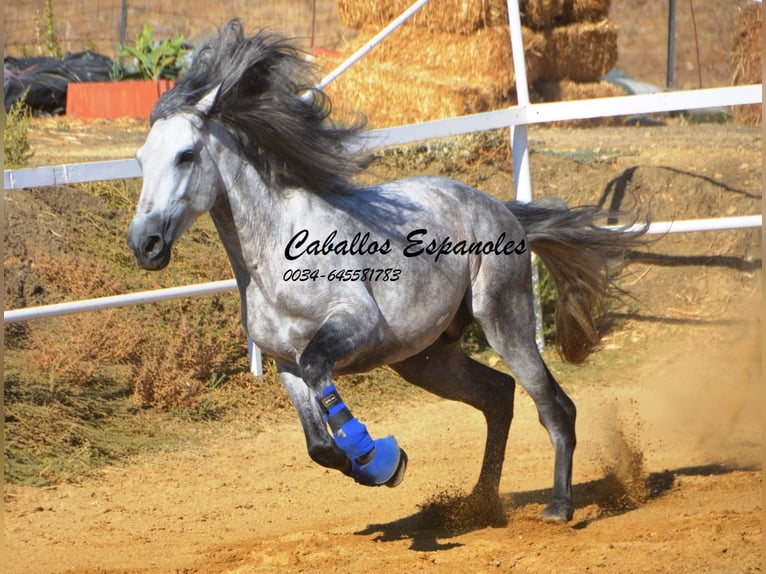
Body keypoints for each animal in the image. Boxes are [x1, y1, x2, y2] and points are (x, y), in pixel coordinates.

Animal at [129, 21, 644, 528]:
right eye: (140, 160)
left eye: (186, 155)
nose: (144, 243)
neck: (274, 258)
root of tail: (499, 208)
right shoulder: (283, 363)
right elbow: (318, 446)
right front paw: (373, 466)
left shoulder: (357, 325)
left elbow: (320, 372)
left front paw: (381, 458)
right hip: (426, 359)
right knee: (499, 395)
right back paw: (479, 504)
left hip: (504, 320)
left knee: (554, 405)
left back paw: (558, 506)